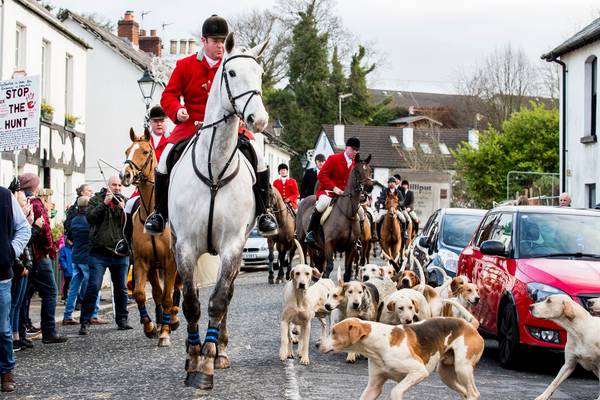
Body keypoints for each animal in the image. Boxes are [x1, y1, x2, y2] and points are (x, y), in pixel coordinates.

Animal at [120, 128, 180, 346]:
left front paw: (165, 333)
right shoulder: (141, 261)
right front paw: (150, 327)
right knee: (157, 293)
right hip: (154, 267)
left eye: (145, 151)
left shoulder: (170, 262)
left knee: (177, 289)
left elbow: (169, 296)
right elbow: (140, 294)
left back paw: (173, 319)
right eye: (127, 150)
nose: (125, 175)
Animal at [168, 32, 268, 390]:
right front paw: (192, 357)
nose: (259, 120)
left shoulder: (232, 246)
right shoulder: (185, 245)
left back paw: (221, 349)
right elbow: (191, 303)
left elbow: (219, 300)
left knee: (229, 294)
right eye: (232, 73)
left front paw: (208, 361)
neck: (213, 168)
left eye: (260, 74)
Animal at [296, 153, 370, 282]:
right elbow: (329, 268)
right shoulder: (329, 243)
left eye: (370, 170)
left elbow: (347, 272)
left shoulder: (351, 246)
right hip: (302, 241)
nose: (369, 187)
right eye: (357, 171)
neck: (347, 213)